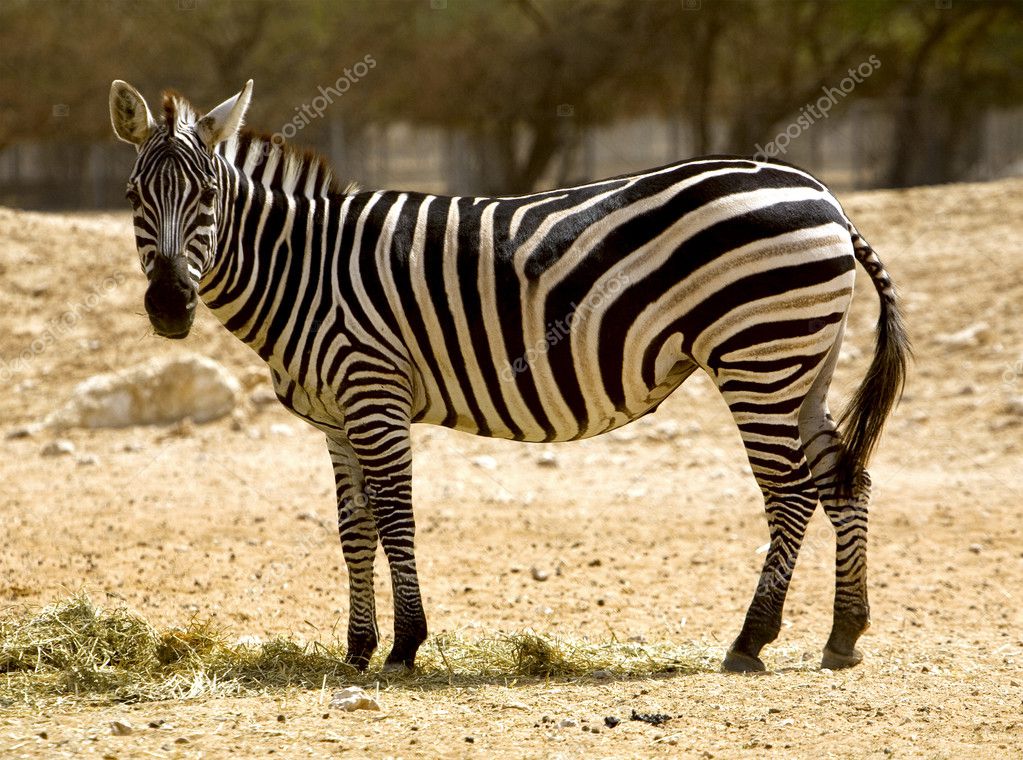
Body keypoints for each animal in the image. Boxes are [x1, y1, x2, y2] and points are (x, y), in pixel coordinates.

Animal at [109, 79, 908, 673]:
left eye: (209, 198)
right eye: (132, 198)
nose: (169, 307)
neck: (305, 269)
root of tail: (824, 196)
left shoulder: (374, 391)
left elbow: (394, 516)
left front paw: (404, 645)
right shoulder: (335, 416)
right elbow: (353, 527)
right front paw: (357, 649)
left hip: (758, 355)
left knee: (790, 492)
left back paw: (750, 640)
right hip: (802, 360)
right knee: (845, 480)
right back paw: (844, 634)